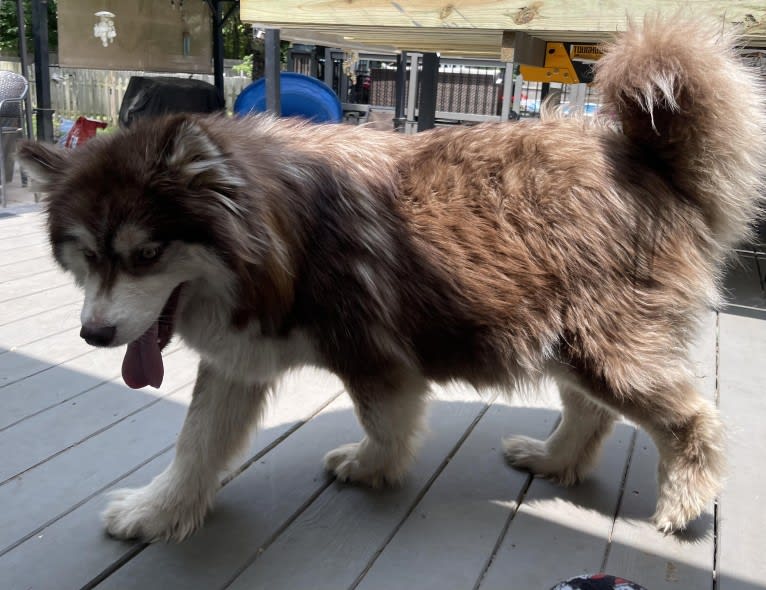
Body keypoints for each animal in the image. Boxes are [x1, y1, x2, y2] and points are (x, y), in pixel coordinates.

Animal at [18, 17, 766, 544]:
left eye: (145, 254)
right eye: (84, 256)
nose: (93, 335)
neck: (277, 237)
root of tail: (641, 157)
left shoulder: (375, 358)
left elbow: (384, 424)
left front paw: (373, 468)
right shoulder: (238, 360)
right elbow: (196, 446)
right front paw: (160, 511)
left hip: (605, 349)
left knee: (691, 420)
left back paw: (682, 500)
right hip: (566, 341)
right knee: (589, 412)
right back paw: (554, 460)